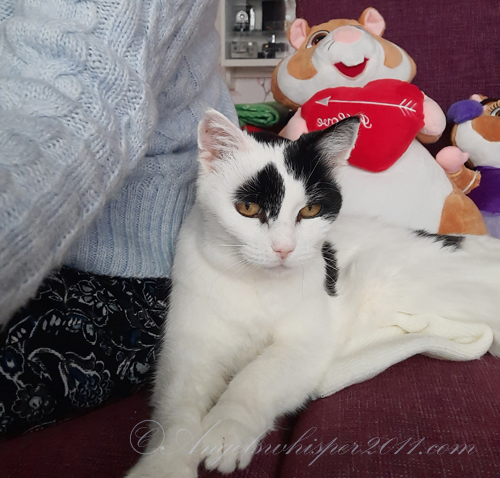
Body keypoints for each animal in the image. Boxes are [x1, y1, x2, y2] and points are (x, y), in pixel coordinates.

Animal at [126, 110, 500, 478]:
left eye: (309, 211)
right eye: (248, 208)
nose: (284, 249)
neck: (254, 282)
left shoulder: (308, 340)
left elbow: (257, 376)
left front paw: (226, 429)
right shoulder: (189, 343)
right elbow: (177, 405)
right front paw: (162, 465)